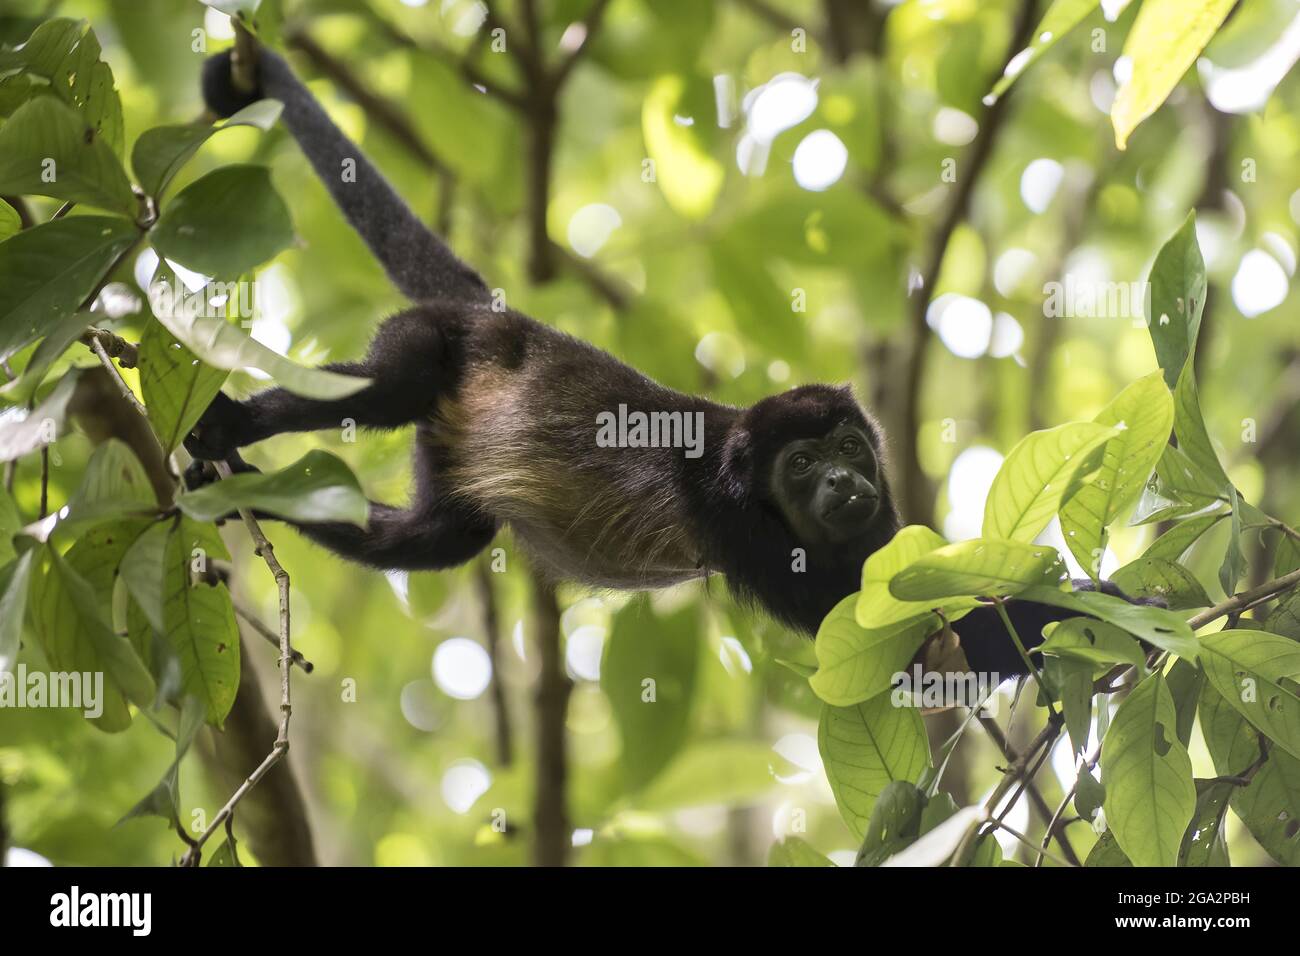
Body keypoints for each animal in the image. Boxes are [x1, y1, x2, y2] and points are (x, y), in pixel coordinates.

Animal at [189, 42, 1138, 681]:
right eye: (802, 466)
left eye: (845, 450)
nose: (841, 480)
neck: (755, 483)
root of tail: (501, 317)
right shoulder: (745, 532)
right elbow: (896, 638)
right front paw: (1135, 615)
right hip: (428, 336)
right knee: (391, 386)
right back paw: (228, 425)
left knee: (435, 540)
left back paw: (263, 497)